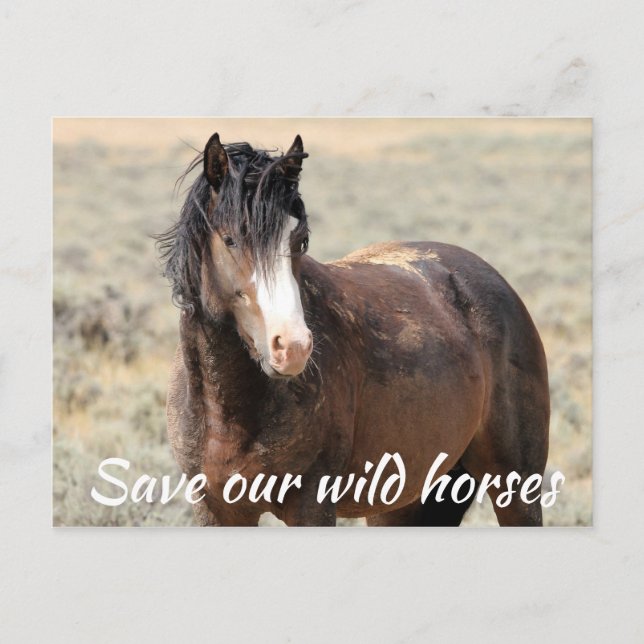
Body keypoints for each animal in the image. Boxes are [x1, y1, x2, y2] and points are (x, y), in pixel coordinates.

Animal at [157, 133, 550, 527]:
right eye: (230, 239)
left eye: (300, 241)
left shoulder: (312, 504)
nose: (293, 347)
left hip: (515, 489)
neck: (229, 414)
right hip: (402, 504)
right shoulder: (215, 509)